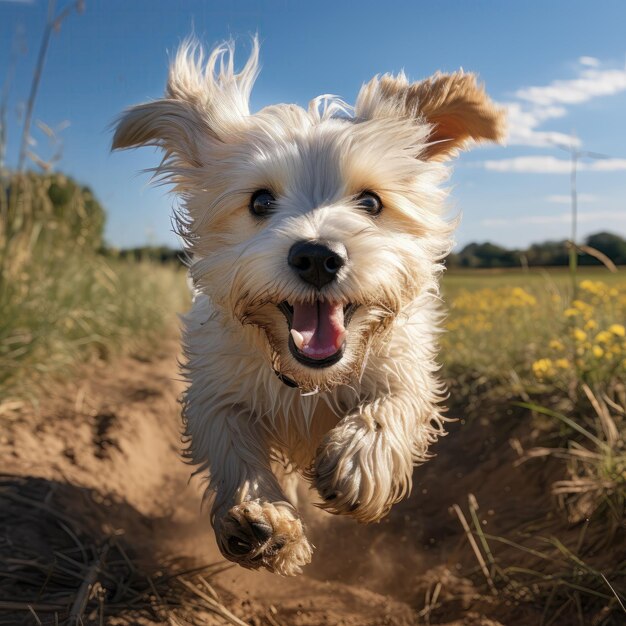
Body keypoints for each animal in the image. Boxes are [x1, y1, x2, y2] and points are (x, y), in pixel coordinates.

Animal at [111, 39, 502, 576]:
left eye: (371, 202)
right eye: (259, 201)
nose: (317, 256)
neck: (311, 382)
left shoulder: (404, 364)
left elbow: (393, 402)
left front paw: (358, 461)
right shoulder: (217, 387)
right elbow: (231, 445)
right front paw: (260, 518)